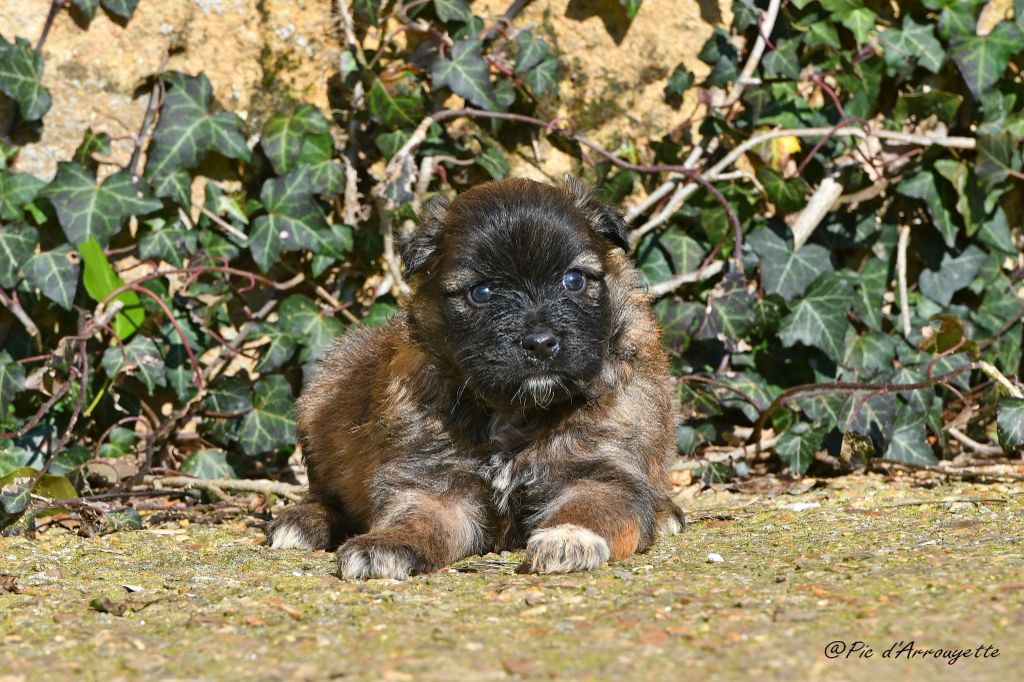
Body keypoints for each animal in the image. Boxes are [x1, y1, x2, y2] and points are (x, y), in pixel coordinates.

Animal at [268, 174, 684, 573]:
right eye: (481, 292)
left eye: (574, 280)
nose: (540, 343)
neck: (516, 413)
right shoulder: (437, 484)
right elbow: (417, 517)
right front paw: (386, 544)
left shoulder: (604, 472)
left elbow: (592, 507)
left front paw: (569, 538)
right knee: (324, 493)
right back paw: (300, 522)